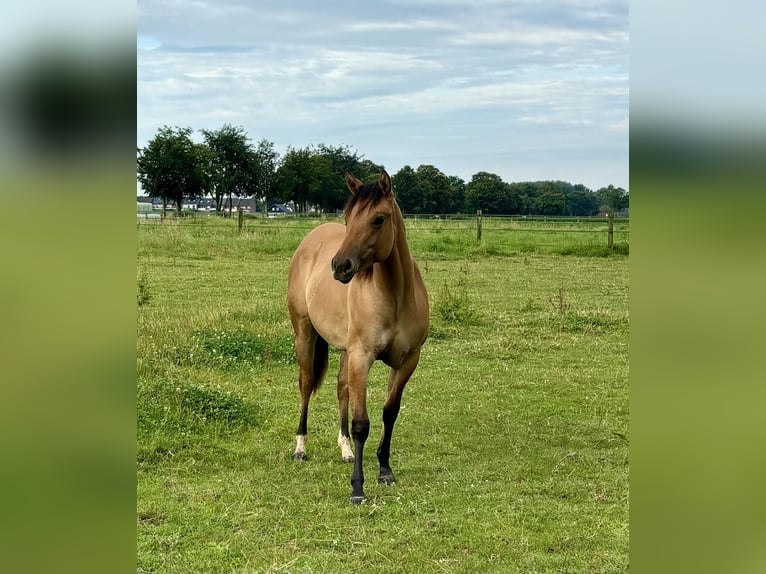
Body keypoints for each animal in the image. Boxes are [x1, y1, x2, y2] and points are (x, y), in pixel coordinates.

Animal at [288, 170, 432, 504]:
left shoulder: (407, 361)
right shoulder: (362, 357)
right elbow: (361, 424)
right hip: (305, 335)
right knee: (305, 384)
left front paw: (385, 470)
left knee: (342, 390)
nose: (340, 266)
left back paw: (345, 451)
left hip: (344, 350)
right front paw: (357, 487)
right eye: (347, 216)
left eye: (379, 219)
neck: (395, 296)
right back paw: (300, 448)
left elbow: (389, 413)